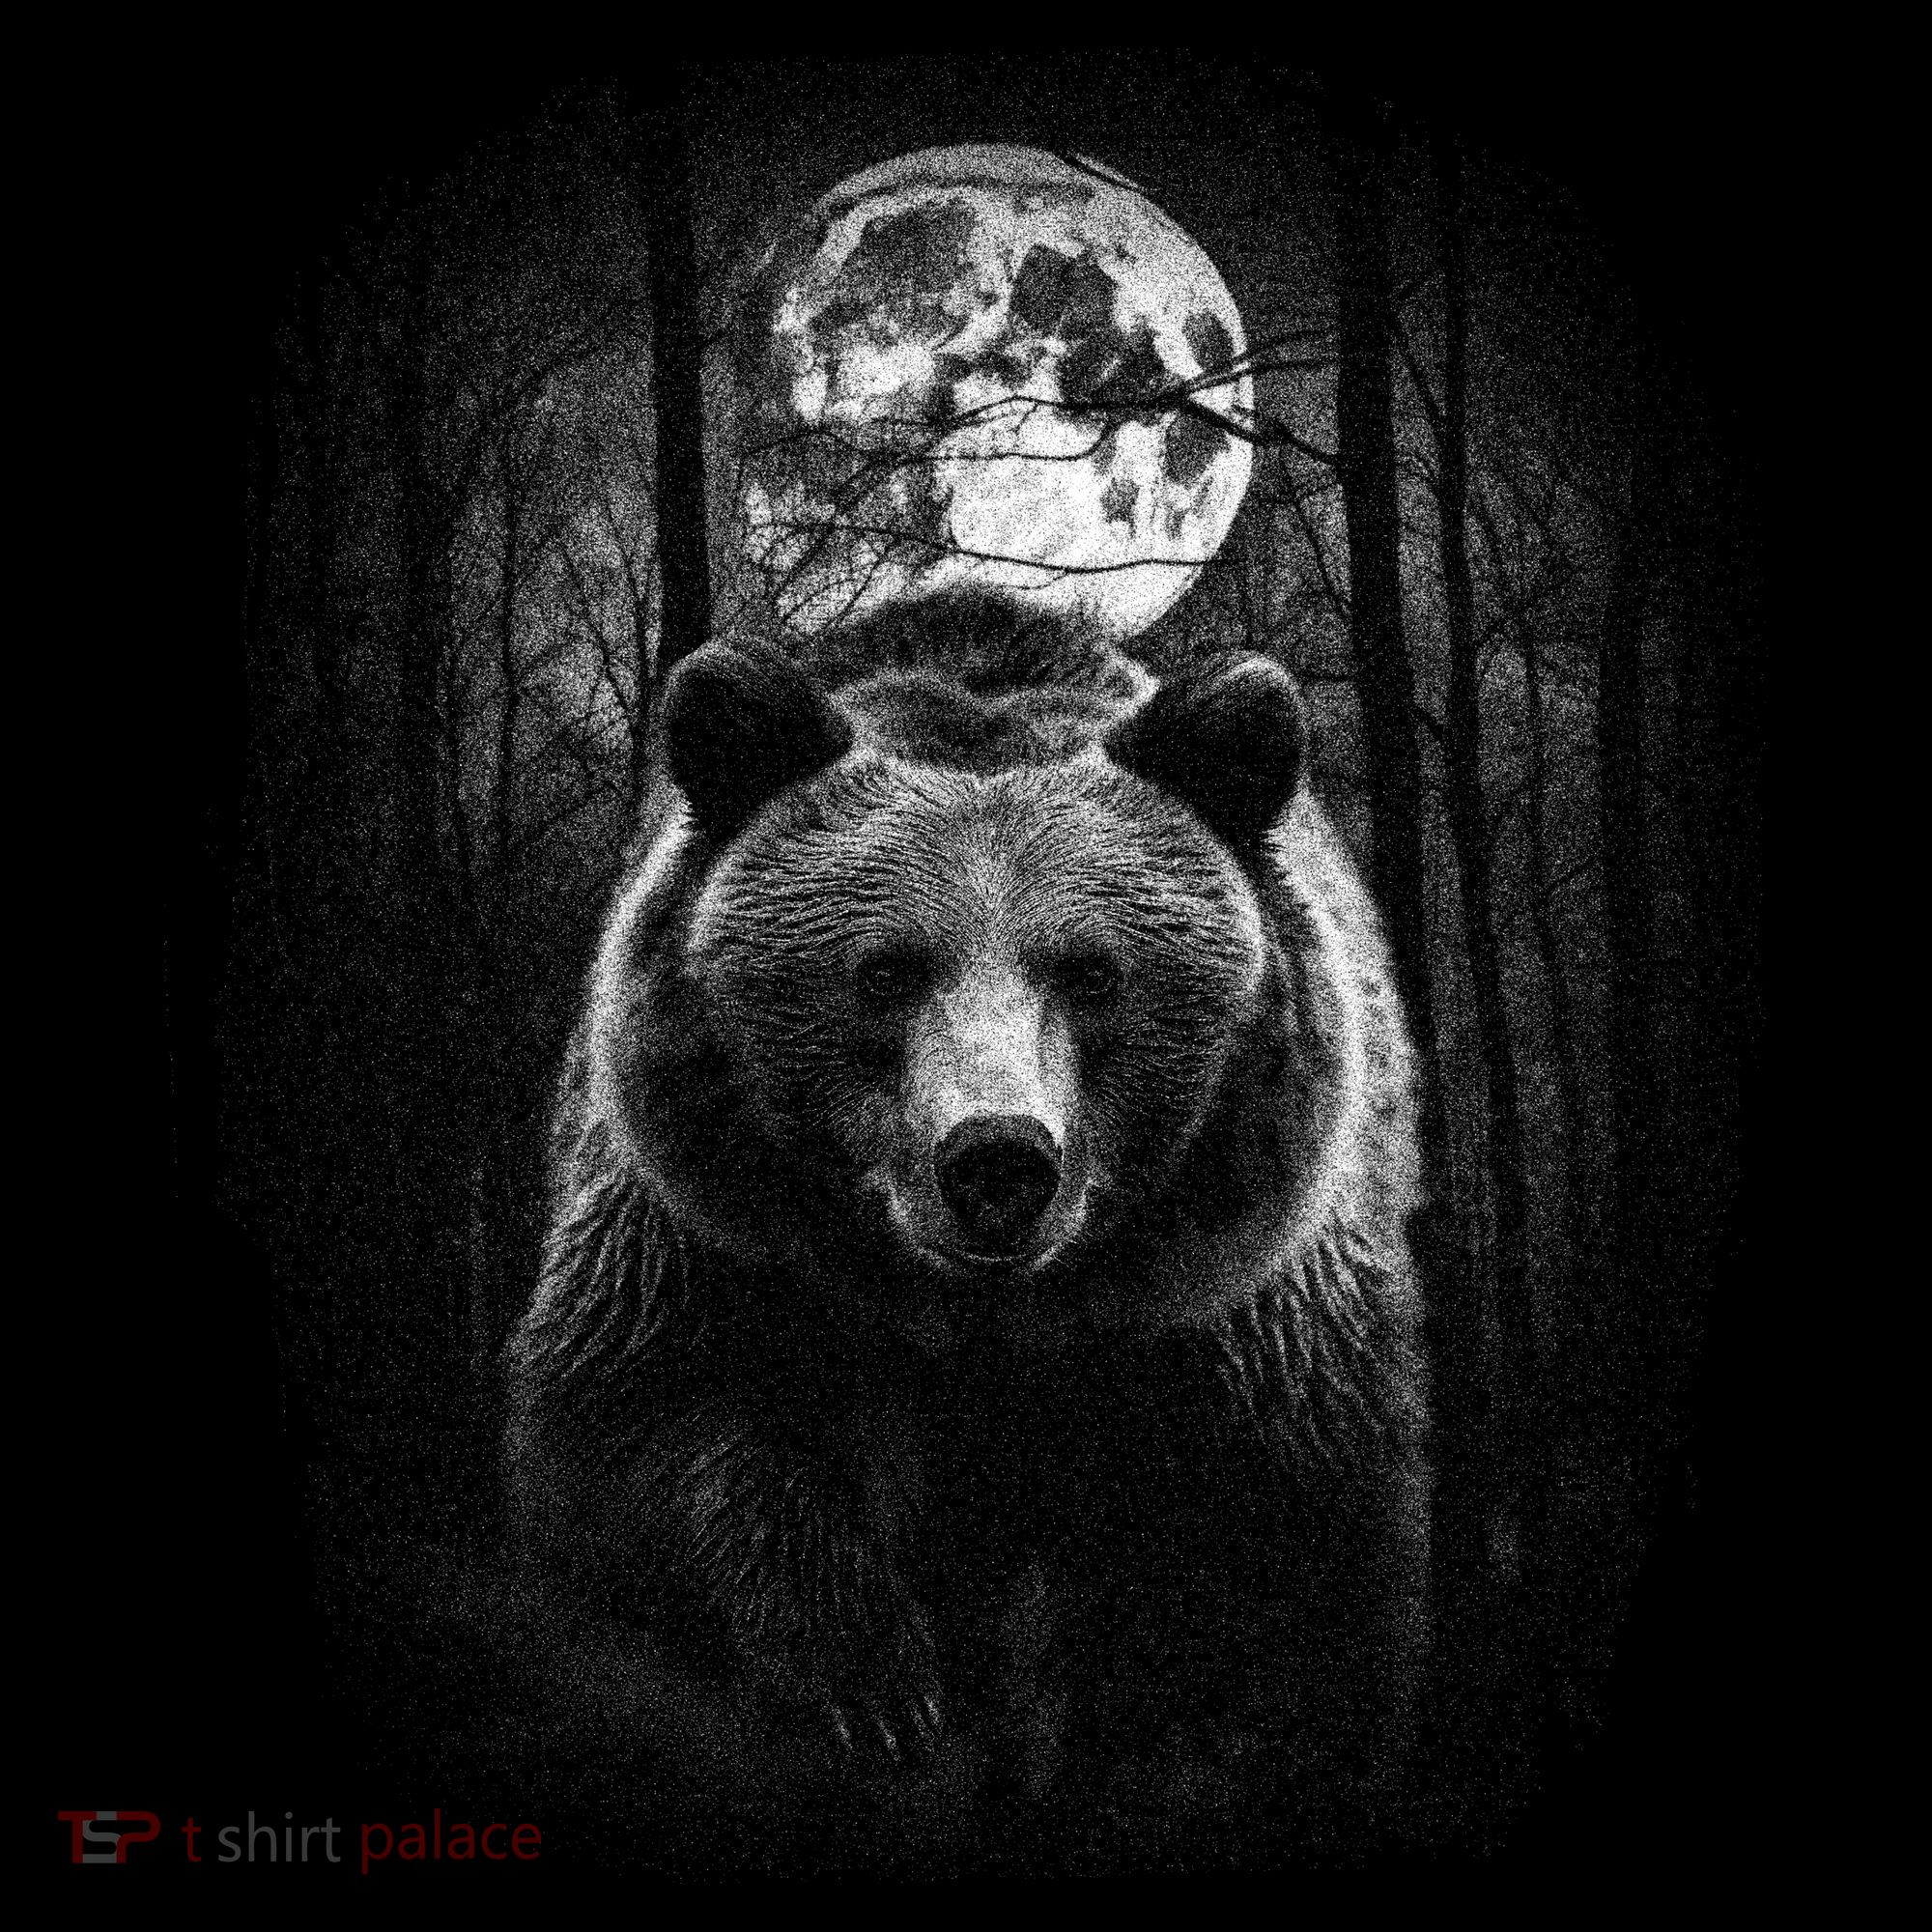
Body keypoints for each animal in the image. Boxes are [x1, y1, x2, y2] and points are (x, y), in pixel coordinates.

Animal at [505, 597, 1429, 1867]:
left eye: (1090, 970)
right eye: (885, 969)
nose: (997, 1159)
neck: (987, 1323)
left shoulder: (1235, 1317)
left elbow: (1272, 1585)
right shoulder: (706, 1238)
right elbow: (651, 1451)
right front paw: (873, 1689)